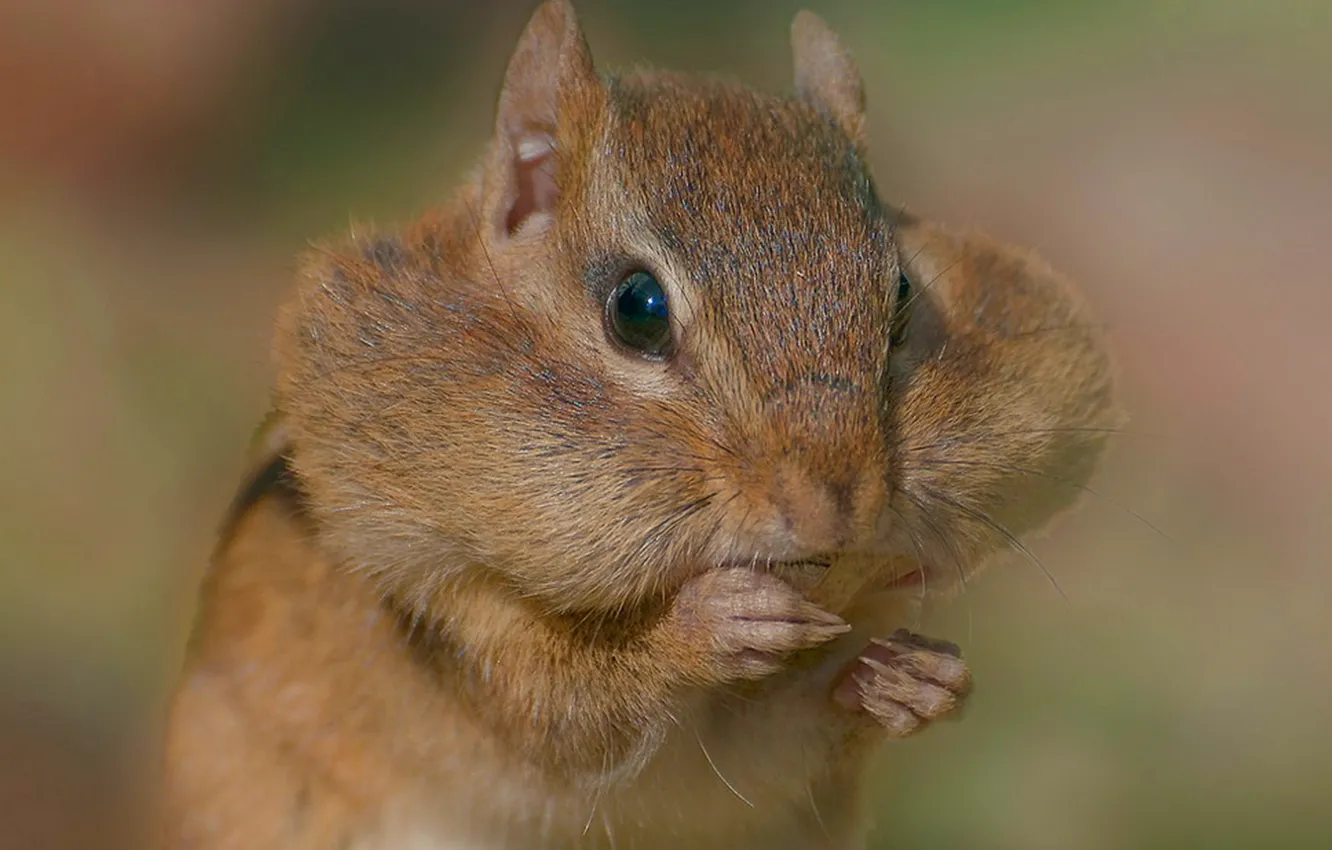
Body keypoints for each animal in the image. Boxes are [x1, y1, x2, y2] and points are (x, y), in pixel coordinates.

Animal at [161, 3, 1118, 849]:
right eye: (638, 309)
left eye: (907, 293)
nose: (834, 510)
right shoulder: (440, 602)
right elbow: (563, 705)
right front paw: (707, 626)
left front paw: (912, 680)